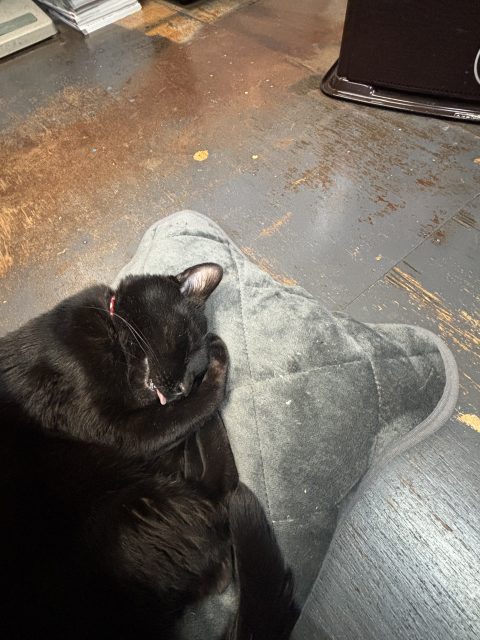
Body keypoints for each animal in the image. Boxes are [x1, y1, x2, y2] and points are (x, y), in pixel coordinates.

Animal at [0, 263, 297, 639]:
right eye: (186, 340)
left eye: (194, 369)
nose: (184, 386)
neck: (112, 331)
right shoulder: (123, 431)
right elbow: (199, 407)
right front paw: (216, 361)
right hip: (133, 506)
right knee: (221, 494)